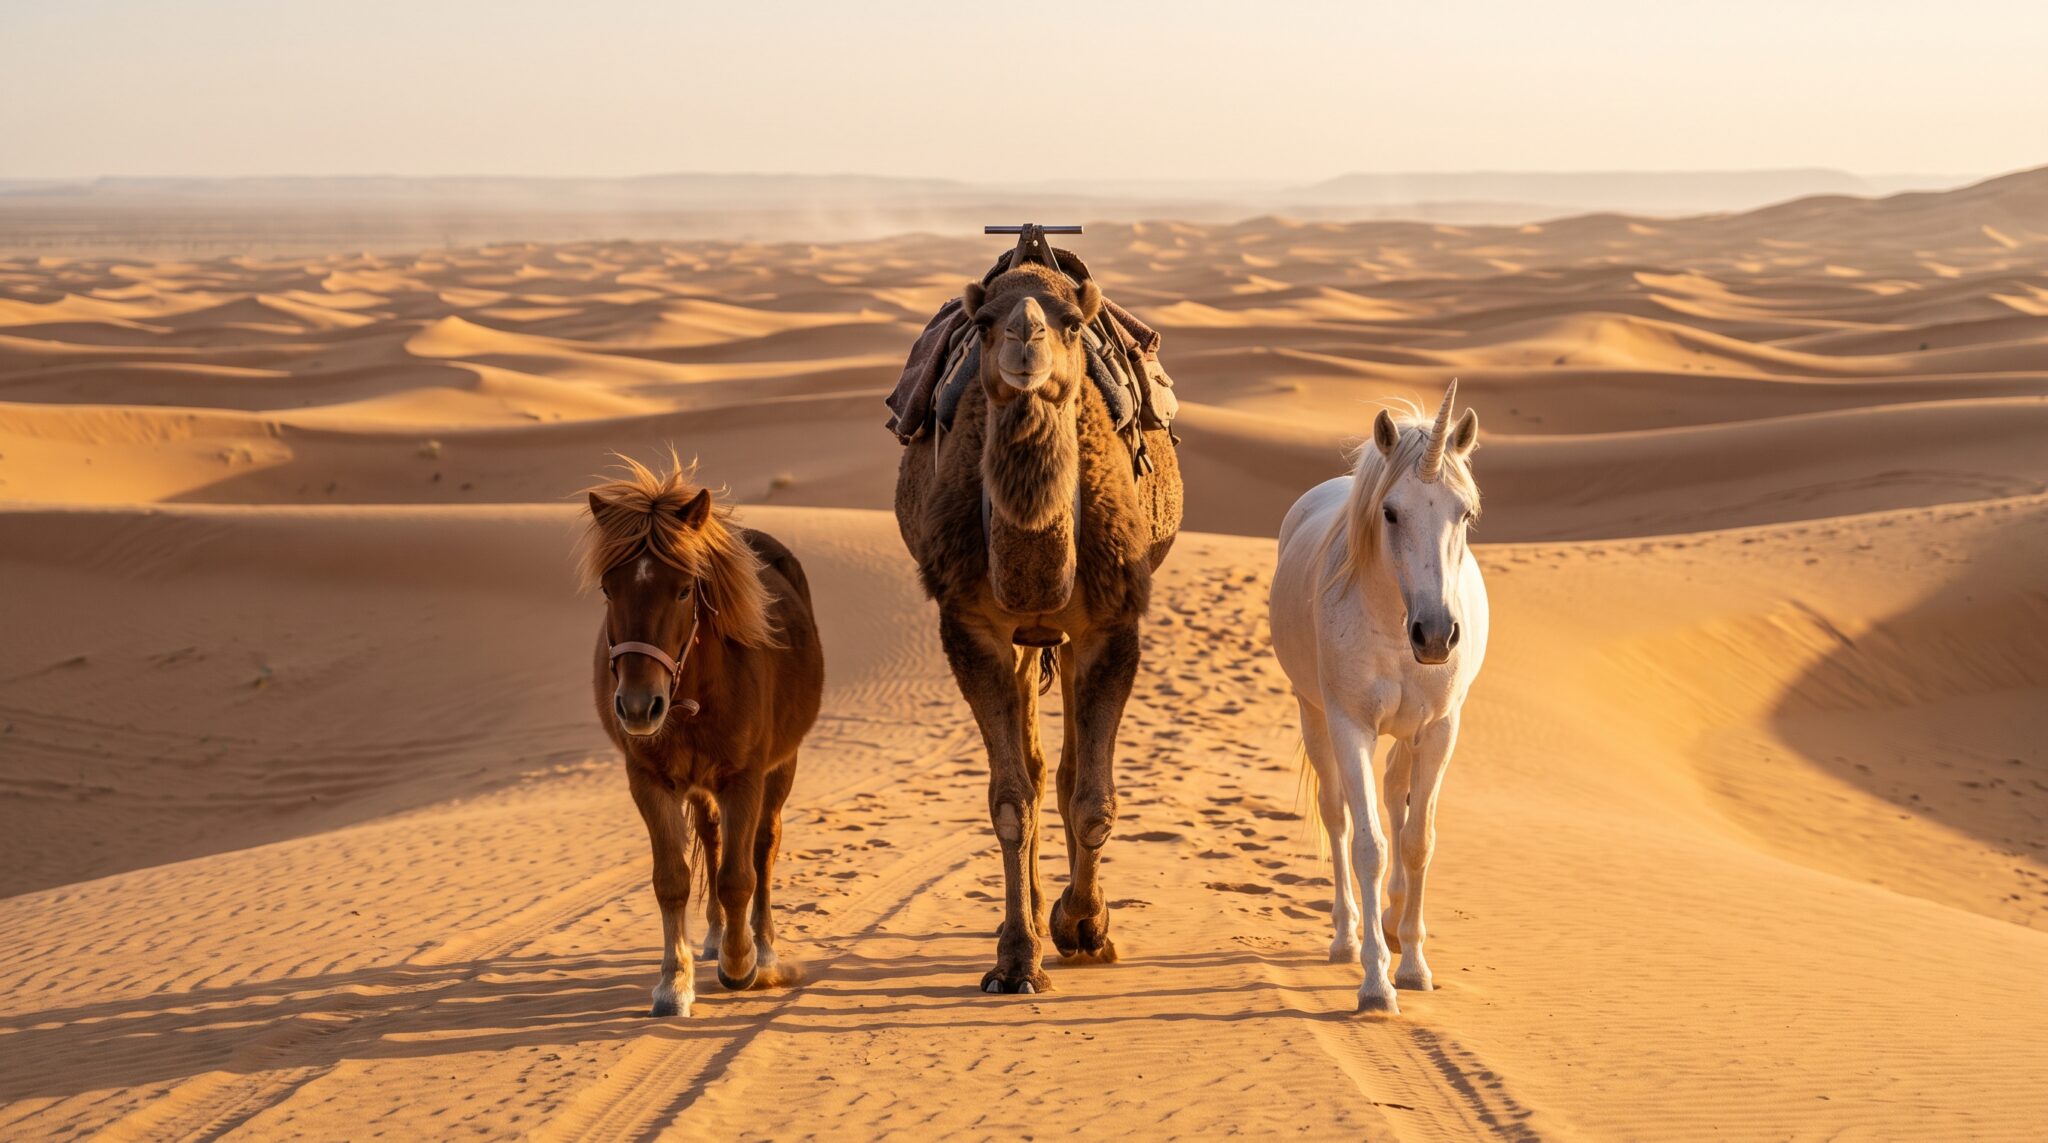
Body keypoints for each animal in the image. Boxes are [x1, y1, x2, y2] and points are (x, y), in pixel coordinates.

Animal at [583, 454, 824, 1017]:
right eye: (608, 588)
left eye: (683, 588)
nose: (637, 706)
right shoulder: (648, 780)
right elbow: (672, 880)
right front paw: (674, 982)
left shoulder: (745, 778)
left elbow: (740, 876)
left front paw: (741, 964)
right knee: (713, 840)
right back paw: (713, 937)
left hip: (780, 768)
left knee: (763, 844)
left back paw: (763, 948)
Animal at [1267, 380, 1487, 1015]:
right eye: (1390, 512)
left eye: (1465, 513)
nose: (1436, 635)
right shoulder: (1351, 726)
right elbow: (1369, 844)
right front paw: (1375, 982)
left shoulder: (1439, 729)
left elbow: (1416, 841)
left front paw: (1412, 964)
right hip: (1314, 716)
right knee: (1338, 817)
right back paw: (1347, 936)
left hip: (1409, 734)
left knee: (1396, 797)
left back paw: (1389, 920)